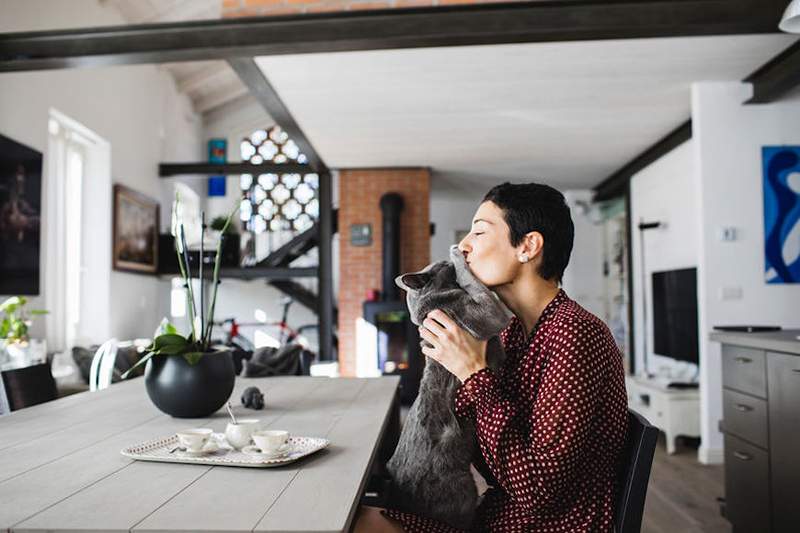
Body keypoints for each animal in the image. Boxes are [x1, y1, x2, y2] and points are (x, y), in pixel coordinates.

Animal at [388, 244, 512, 528]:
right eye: (441, 264)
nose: (459, 247)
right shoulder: (485, 314)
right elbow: (476, 287)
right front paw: (458, 256)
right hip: (462, 491)